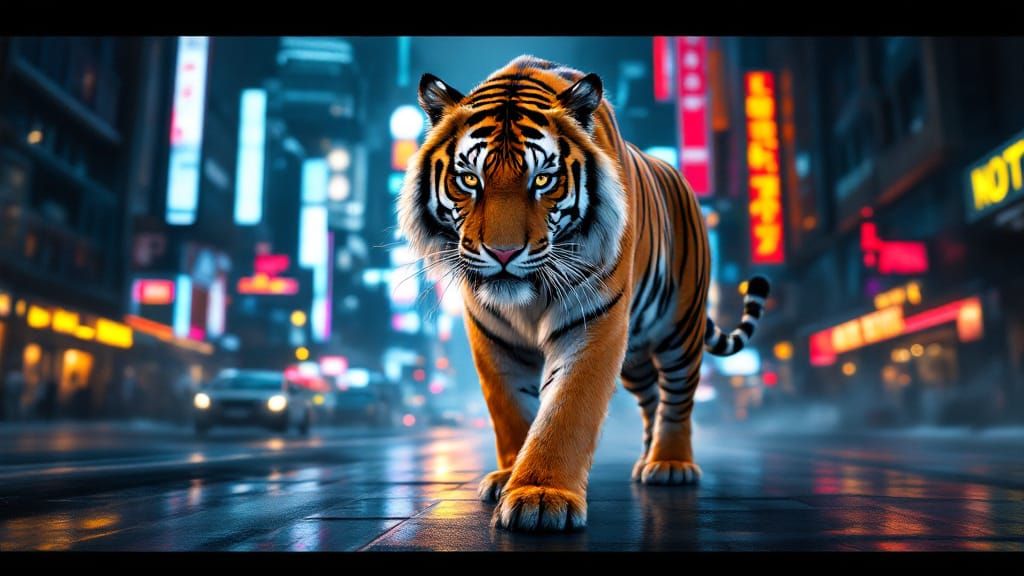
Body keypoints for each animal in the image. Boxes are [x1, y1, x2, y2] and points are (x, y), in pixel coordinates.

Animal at [398, 55, 770, 533]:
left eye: (543, 180)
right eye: (468, 179)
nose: (503, 252)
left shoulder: (594, 322)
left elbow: (566, 409)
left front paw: (540, 497)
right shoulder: (492, 335)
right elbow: (510, 410)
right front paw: (508, 475)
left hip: (680, 330)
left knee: (677, 397)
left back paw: (670, 464)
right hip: (635, 356)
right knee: (651, 398)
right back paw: (646, 457)